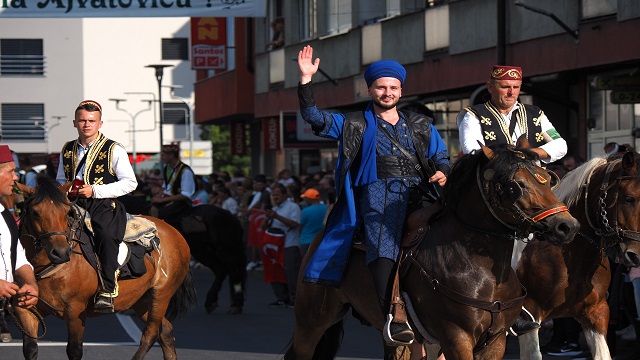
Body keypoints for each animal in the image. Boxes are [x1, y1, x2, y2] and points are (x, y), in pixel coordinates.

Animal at [10, 177, 195, 360]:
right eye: (35, 212)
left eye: (66, 211)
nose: (60, 252)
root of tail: (174, 232)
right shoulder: (25, 310)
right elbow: (30, 349)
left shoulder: (75, 312)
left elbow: (74, 350)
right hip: (142, 300)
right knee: (165, 331)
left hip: (161, 295)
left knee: (150, 334)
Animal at [286, 144, 580, 360]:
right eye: (516, 184)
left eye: (548, 179)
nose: (567, 226)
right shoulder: (456, 338)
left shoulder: (495, 341)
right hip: (311, 322)